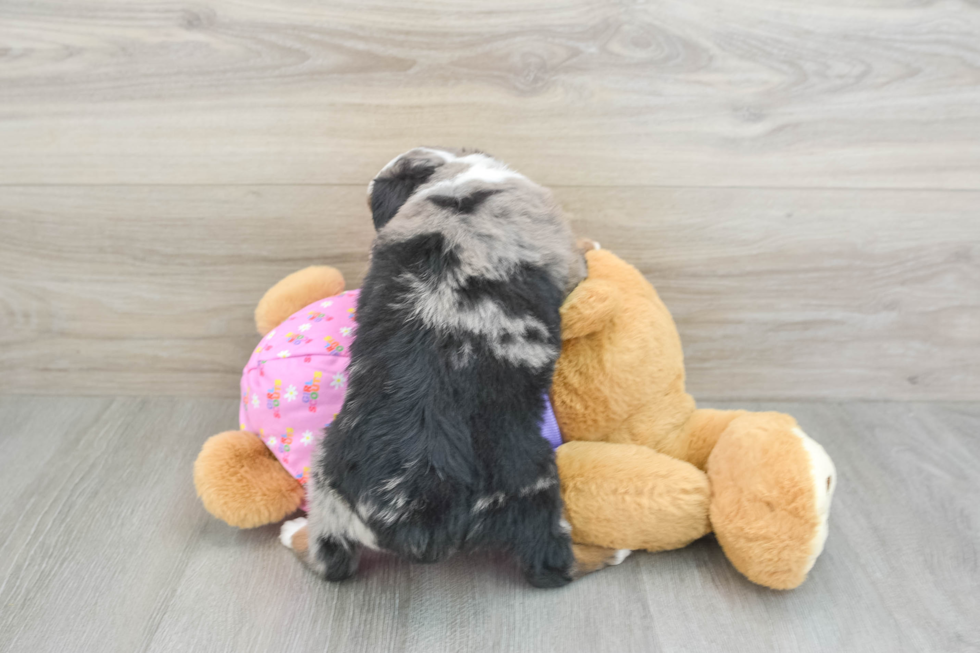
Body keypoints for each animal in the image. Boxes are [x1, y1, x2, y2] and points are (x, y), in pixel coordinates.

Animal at [284, 148, 616, 584]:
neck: (456, 178)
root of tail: (416, 513)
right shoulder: (563, 253)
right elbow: (578, 254)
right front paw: (592, 243)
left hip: (327, 489)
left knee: (330, 561)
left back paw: (293, 531)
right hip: (533, 488)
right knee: (555, 564)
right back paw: (610, 552)